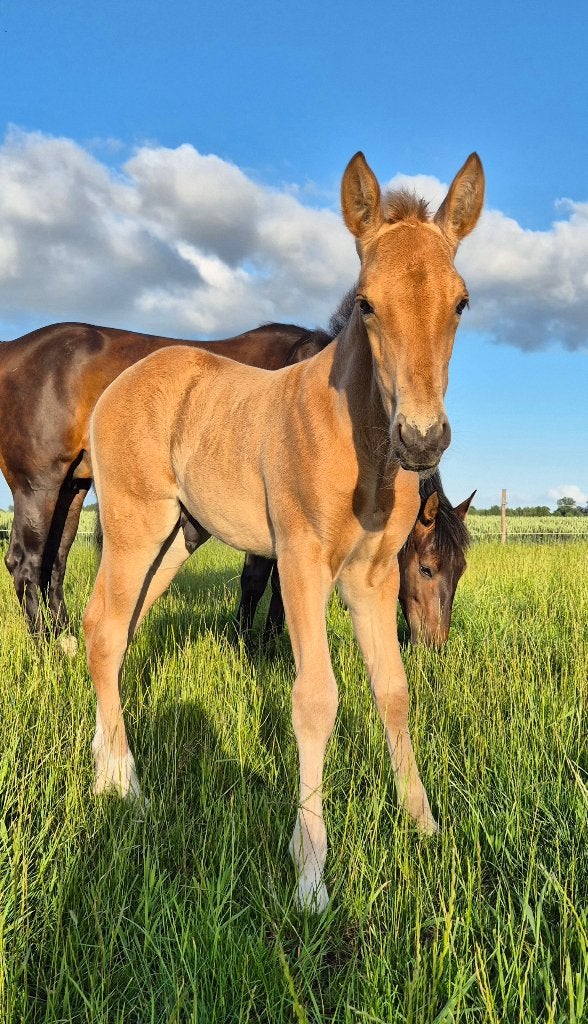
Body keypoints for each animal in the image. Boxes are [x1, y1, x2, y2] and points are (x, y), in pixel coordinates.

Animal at [0, 319, 329, 641]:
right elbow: (257, 580)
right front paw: (248, 645)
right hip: (38, 487)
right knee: (25, 563)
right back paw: (45, 645)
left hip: (71, 488)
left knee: (53, 562)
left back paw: (65, 640)